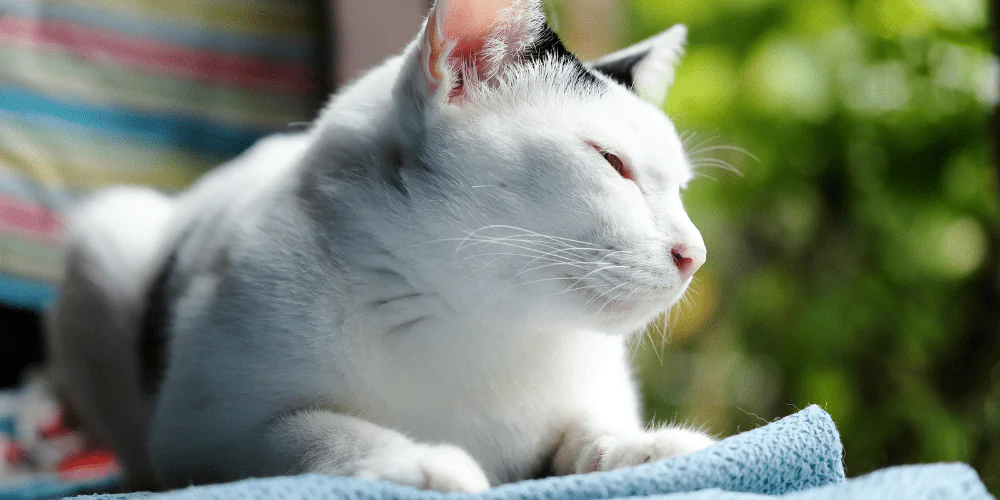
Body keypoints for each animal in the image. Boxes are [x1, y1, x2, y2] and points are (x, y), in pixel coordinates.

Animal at [47, 0, 716, 492]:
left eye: (681, 189)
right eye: (613, 163)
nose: (694, 255)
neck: (477, 328)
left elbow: (588, 429)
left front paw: (643, 445)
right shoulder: (198, 436)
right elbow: (311, 430)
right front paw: (420, 462)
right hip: (101, 242)